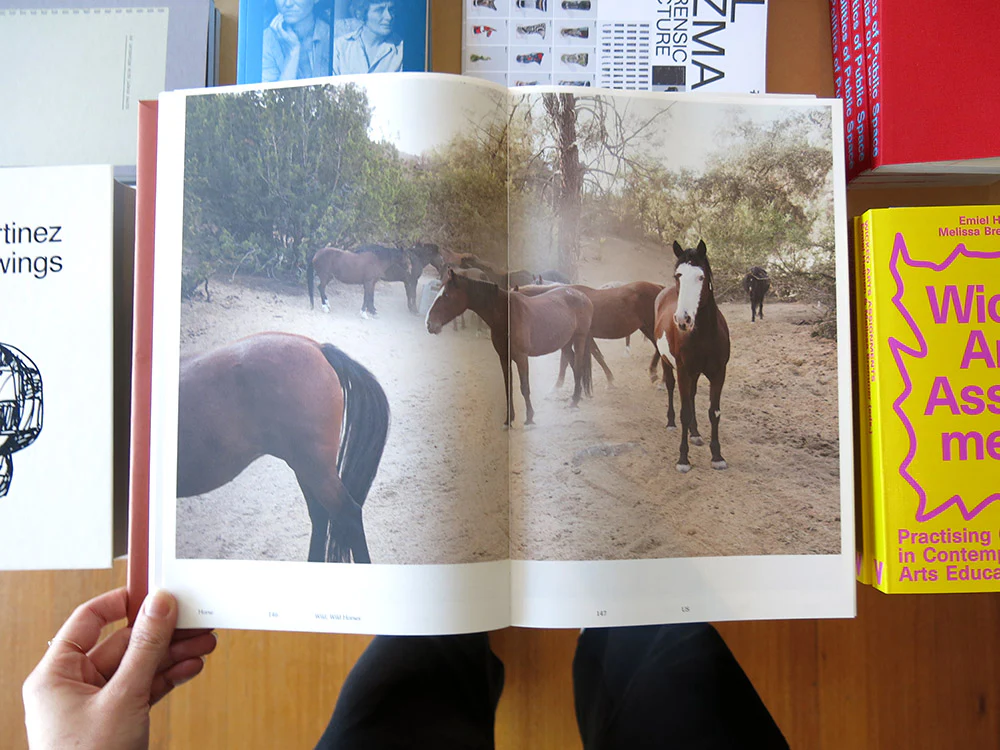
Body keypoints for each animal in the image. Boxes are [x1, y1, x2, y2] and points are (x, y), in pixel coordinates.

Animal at [426, 270, 593, 426]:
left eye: (446, 295)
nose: (429, 323)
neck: (506, 315)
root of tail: (583, 297)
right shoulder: (504, 357)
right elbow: (508, 387)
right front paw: (509, 419)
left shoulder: (521, 358)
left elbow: (524, 387)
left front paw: (529, 418)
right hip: (566, 343)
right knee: (575, 366)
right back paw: (575, 399)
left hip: (579, 339)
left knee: (578, 366)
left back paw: (574, 402)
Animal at [654, 240, 731, 472]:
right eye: (678, 275)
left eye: (700, 277)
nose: (683, 319)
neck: (704, 334)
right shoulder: (683, 371)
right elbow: (685, 412)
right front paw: (683, 459)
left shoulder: (718, 373)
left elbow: (714, 412)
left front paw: (717, 456)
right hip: (667, 363)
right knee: (671, 388)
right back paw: (671, 423)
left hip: (695, 373)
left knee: (693, 395)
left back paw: (695, 433)